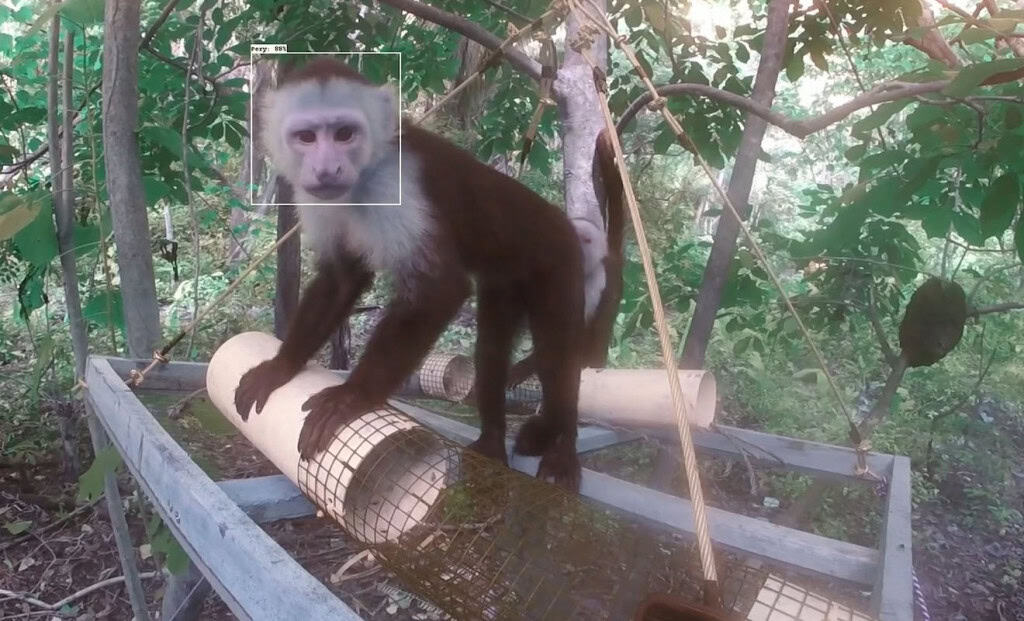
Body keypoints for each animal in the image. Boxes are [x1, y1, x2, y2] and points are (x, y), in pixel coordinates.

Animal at [233, 57, 590, 490]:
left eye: (345, 133)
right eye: (306, 137)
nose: (328, 167)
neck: (364, 177)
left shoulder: (397, 183)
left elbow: (439, 288)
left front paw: (353, 397)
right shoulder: (312, 195)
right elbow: (341, 279)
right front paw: (283, 365)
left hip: (559, 257)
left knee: (558, 355)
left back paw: (563, 447)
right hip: (505, 283)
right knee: (491, 350)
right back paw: (492, 442)